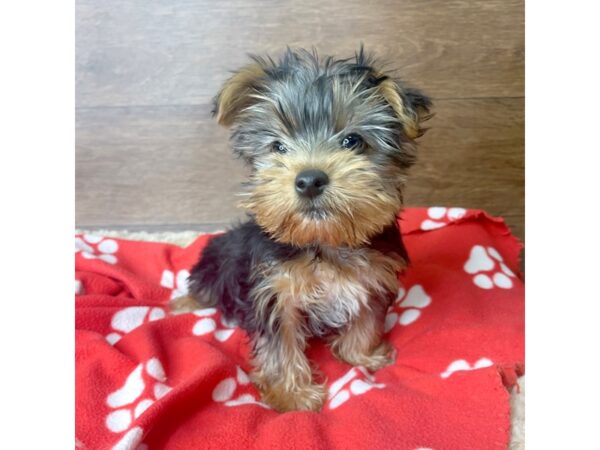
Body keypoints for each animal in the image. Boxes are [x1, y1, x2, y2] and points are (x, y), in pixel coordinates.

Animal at [172, 48, 432, 412]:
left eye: (353, 141)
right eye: (278, 147)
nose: (309, 179)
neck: (323, 241)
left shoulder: (374, 278)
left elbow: (366, 320)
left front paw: (362, 355)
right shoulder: (275, 290)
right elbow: (281, 344)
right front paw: (293, 397)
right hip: (216, 265)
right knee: (202, 287)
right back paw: (182, 306)